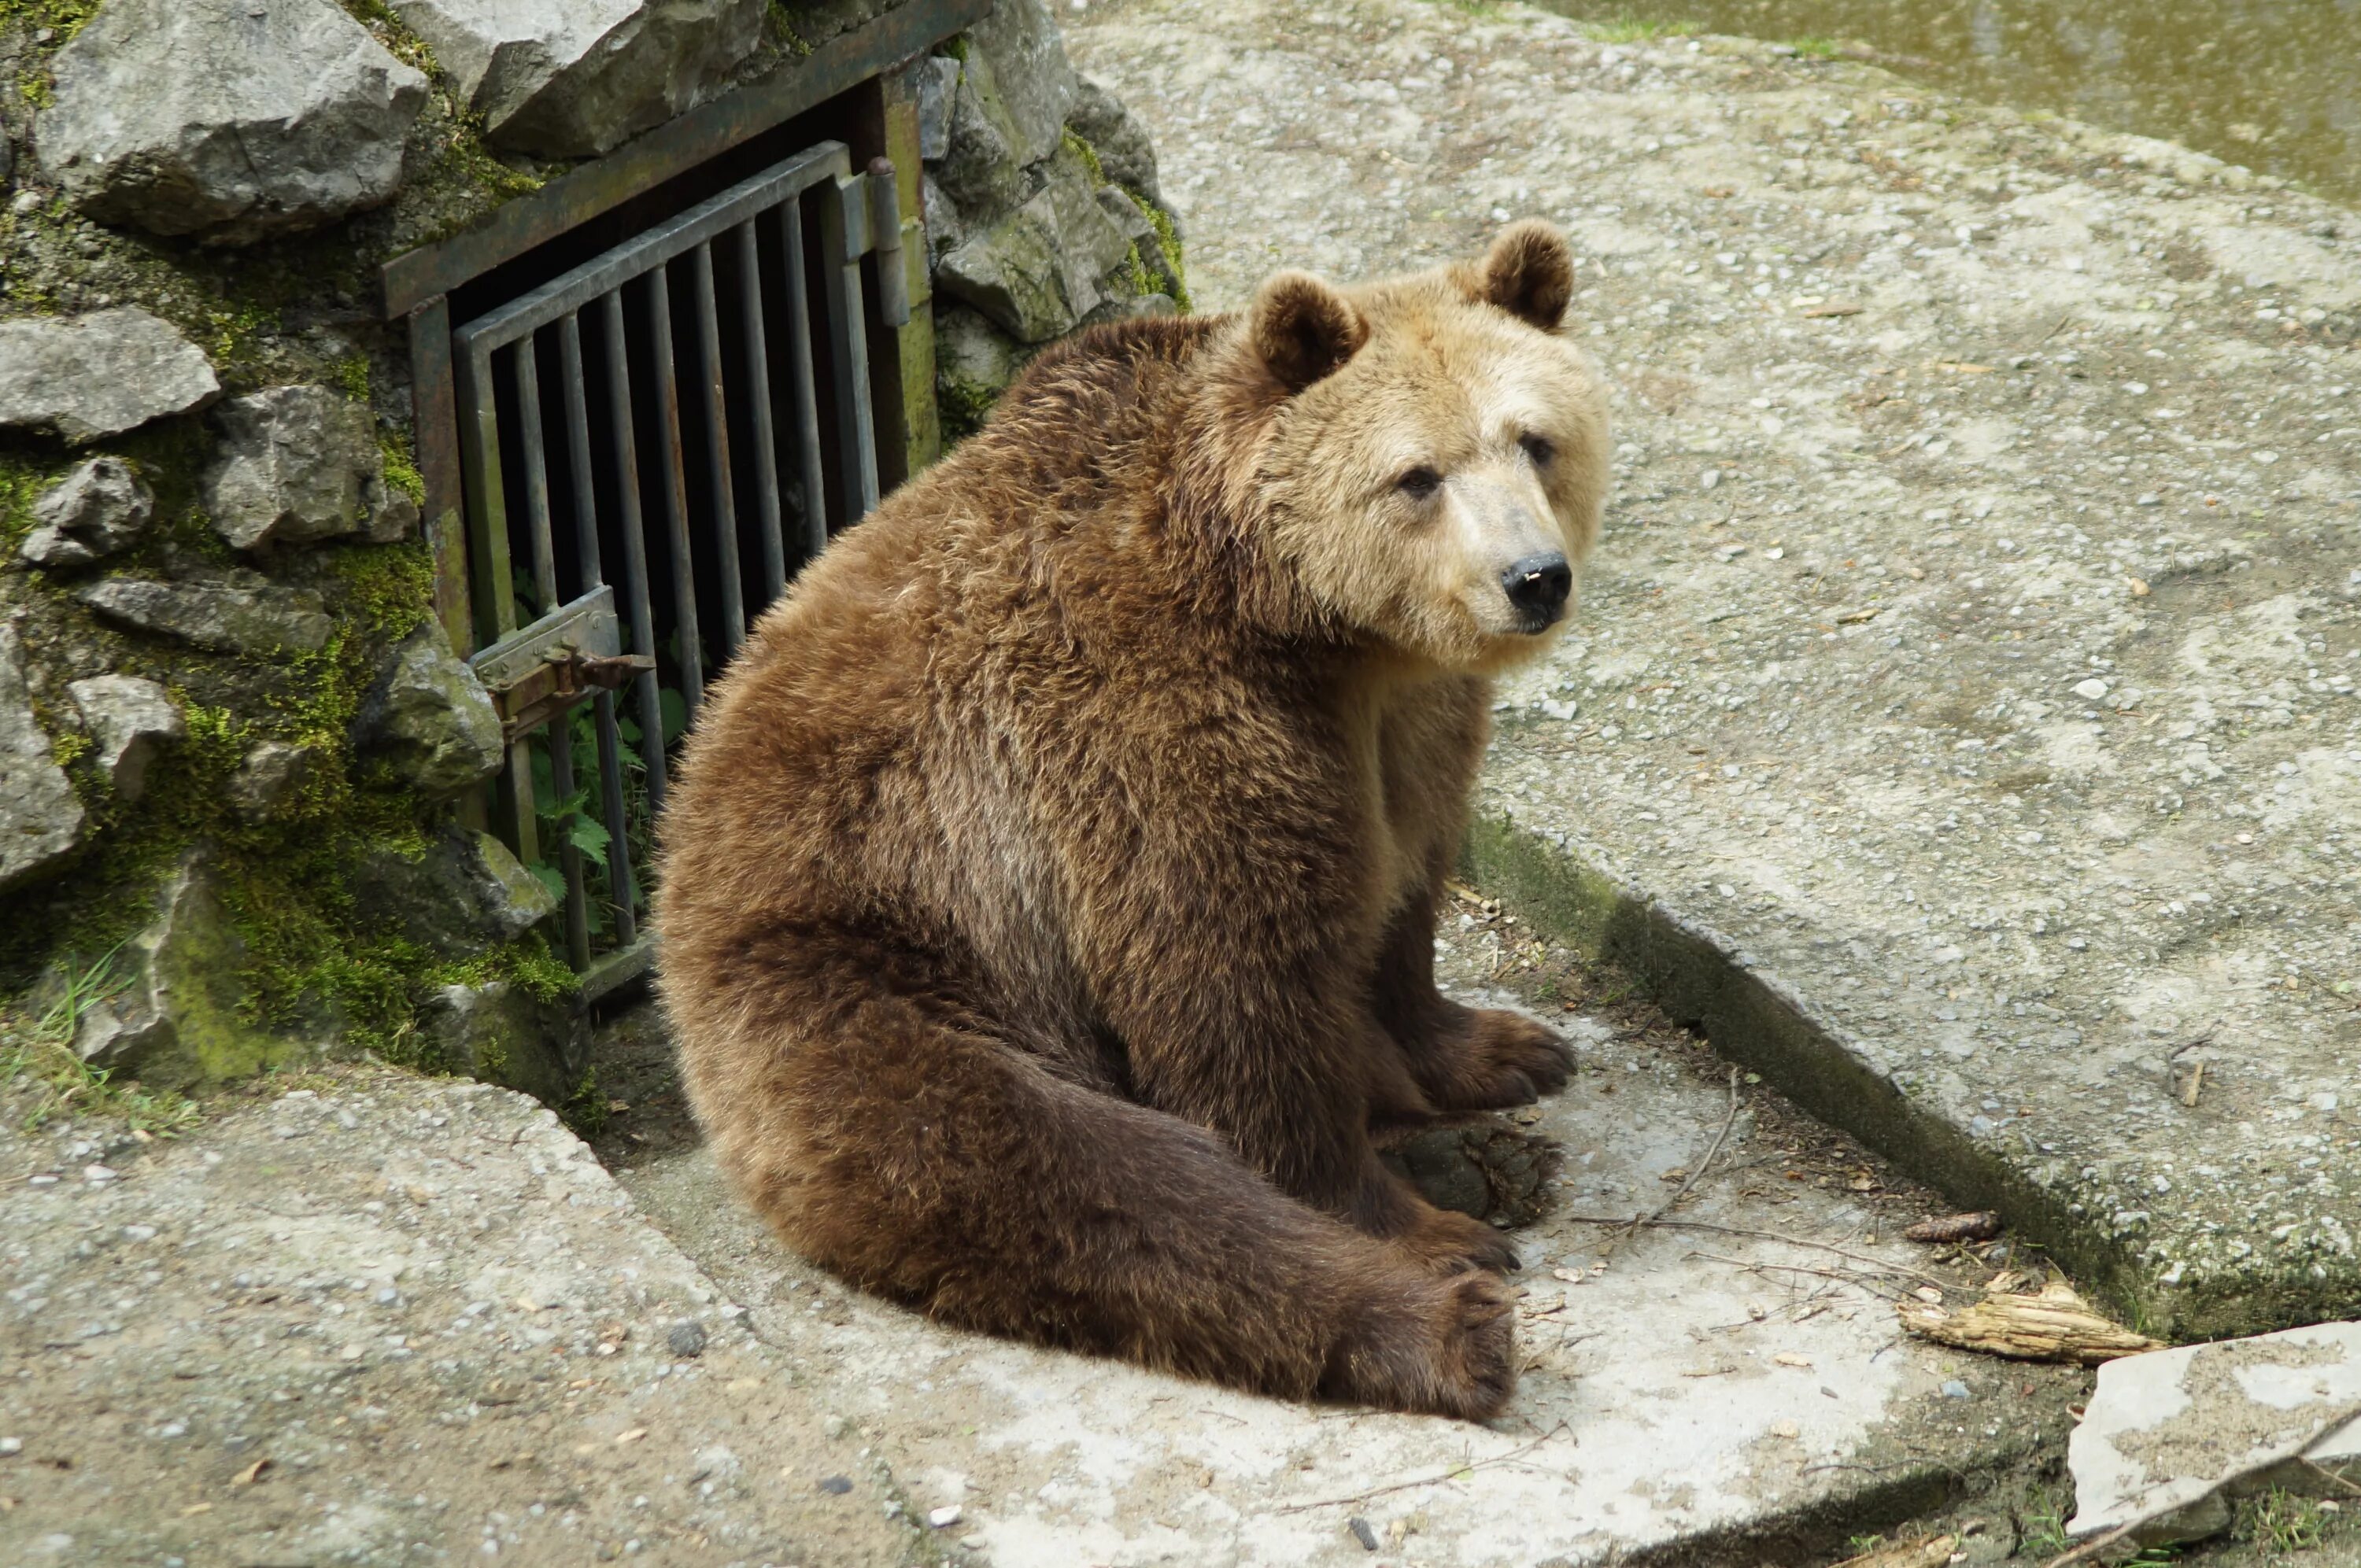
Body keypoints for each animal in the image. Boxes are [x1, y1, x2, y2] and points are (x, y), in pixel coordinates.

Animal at [666, 223, 1624, 1416]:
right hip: (869, 977)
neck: (1313, 626)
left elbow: (1402, 892)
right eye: (1417, 475)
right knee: (1096, 1182)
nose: (1532, 579)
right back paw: (1449, 1312)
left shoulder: (1415, 724)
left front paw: (1500, 1044)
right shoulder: (1151, 723)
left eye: (1534, 440)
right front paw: (1404, 1218)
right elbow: (1234, 996)